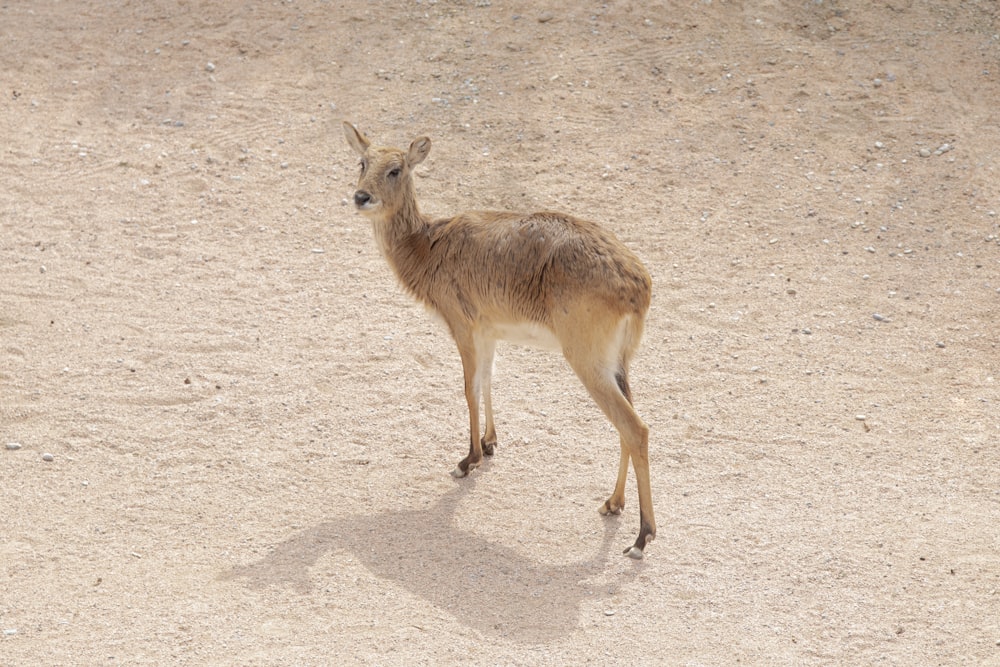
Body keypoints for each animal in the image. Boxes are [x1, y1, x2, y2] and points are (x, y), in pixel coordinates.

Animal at [344, 121, 656, 560]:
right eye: (362, 162)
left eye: (396, 169)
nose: (361, 197)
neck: (427, 245)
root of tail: (640, 287)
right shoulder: (490, 331)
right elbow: (490, 380)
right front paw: (489, 443)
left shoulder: (463, 325)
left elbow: (469, 388)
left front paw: (467, 459)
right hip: (618, 362)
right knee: (628, 423)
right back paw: (612, 504)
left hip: (587, 359)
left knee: (636, 427)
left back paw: (641, 538)